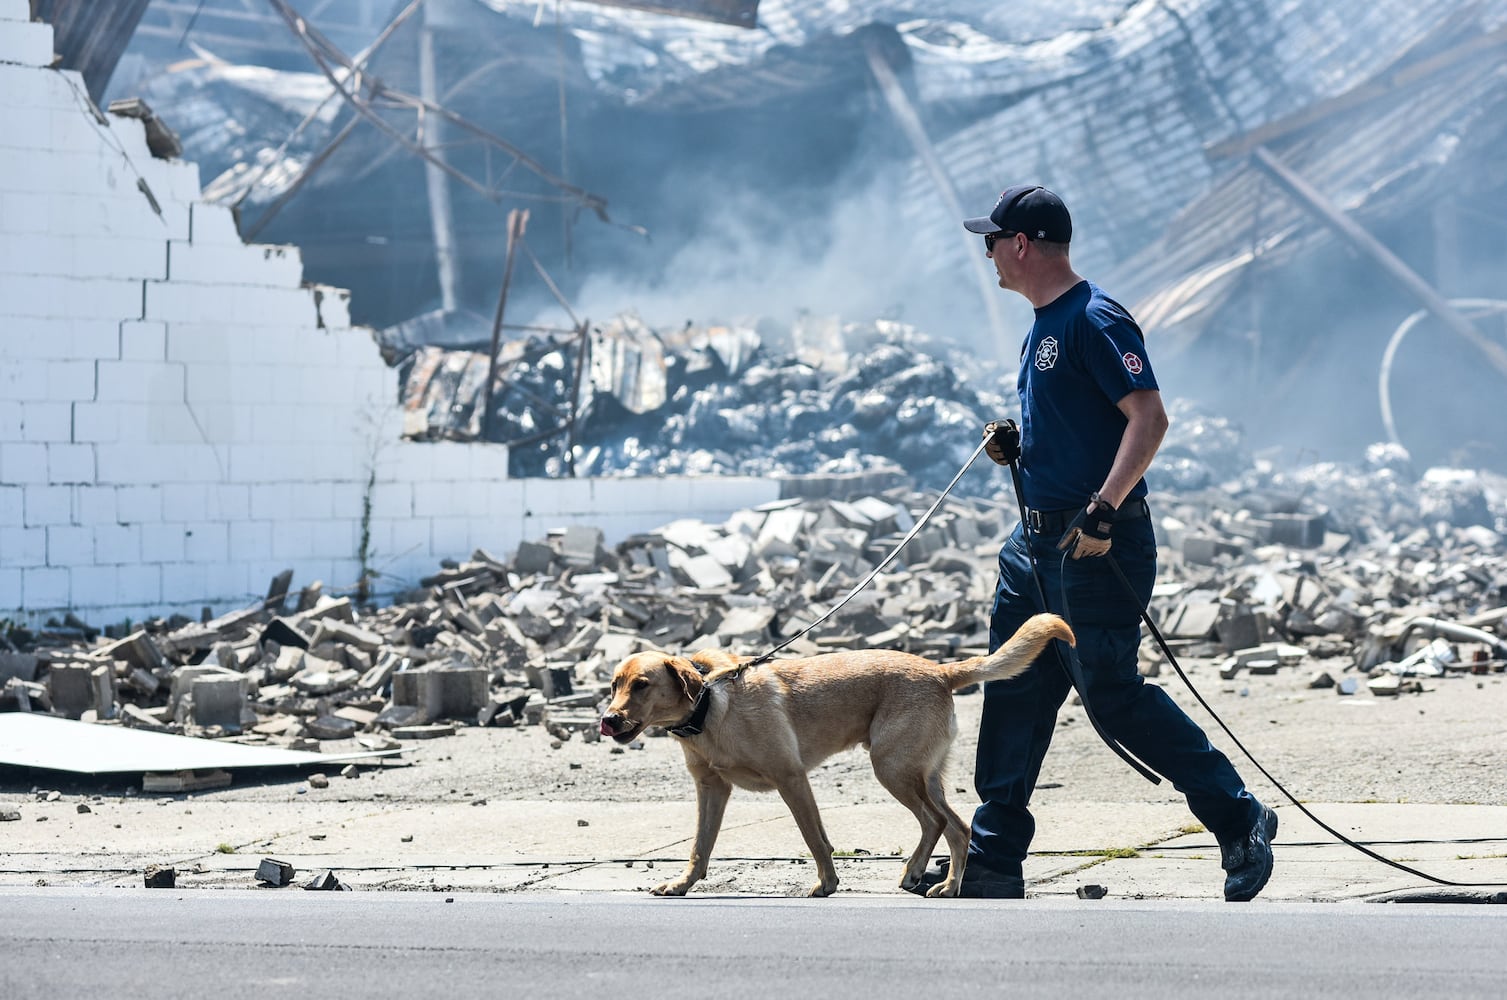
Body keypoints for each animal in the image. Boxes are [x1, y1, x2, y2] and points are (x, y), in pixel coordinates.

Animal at [596, 614, 1072, 903]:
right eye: (615, 684)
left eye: (642, 685)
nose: (608, 720)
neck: (709, 704)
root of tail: (940, 671)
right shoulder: (712, 790)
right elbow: (700, 846)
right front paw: (682, 884)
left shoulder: (791, 779)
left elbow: (815, 838)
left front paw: (827, 883)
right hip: (919, 774)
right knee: (939, 822)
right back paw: (916, 873)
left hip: (893, 768)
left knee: (952, 826)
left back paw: (950, 886)